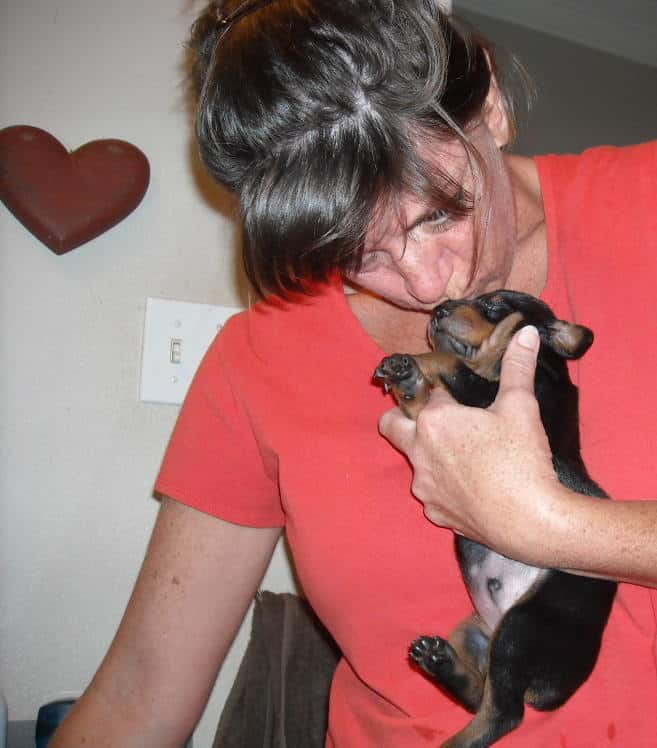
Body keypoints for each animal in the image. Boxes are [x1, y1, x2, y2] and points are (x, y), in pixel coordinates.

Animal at [374, 290, 616, 748]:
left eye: (492, 305)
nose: (438, 309)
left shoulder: (496, 400)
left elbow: (452, 363)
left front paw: (416, 362)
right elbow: (424, 397)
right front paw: (404, 374)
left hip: (522, 627)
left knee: (505, 713)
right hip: (473, 630)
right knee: (480, 695)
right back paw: (439, 661)